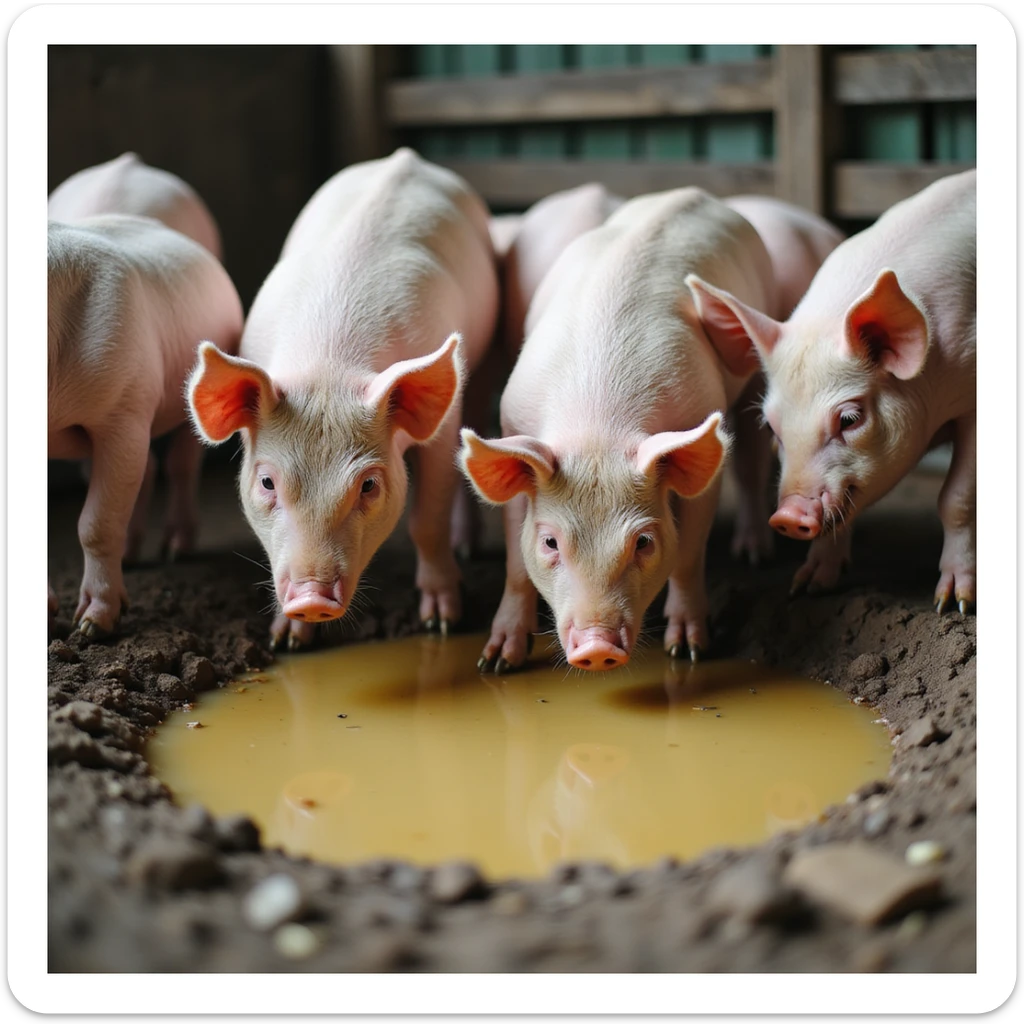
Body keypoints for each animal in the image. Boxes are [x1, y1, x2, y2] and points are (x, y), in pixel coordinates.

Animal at [48, 215, 244, 635]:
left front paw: (92, 627)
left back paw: (177, 550)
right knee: (146, 469)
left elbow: (96, 523)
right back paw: (133, 556)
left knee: (180, 464)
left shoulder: (124, 407)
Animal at [186, 148, 499, 651]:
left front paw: (443, 621)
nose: (312, 598)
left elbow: (426, 518)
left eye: (368, 485)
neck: (327, 368)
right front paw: (287, 641)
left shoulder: (443, 427)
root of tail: (406, 155)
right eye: (267, 482)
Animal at [459, 186, 782, 672]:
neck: (598, 429)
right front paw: (495, 662)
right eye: (551, 542)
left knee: (751, 463)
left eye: (643, 541)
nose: (597, 647)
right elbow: (515, 566)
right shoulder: (513, 424)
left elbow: (688, 556)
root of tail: (691, 193)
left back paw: (756, 554)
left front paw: (687, 651)